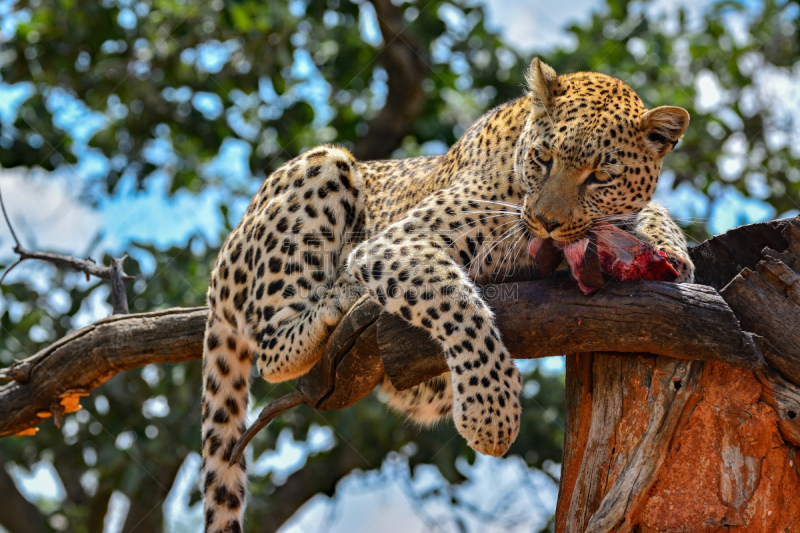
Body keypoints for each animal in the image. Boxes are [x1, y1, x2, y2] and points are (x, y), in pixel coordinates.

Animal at [200, 58, 692, 532]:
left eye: (601, 176)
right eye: (544, 157)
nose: (547, 221)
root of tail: (217, 275)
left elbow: (653, 212)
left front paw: (672, 252)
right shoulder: (398, 242)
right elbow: (460, 305)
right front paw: (491, 413)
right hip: (322, 166)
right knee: (270, 347)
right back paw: (338, 300)